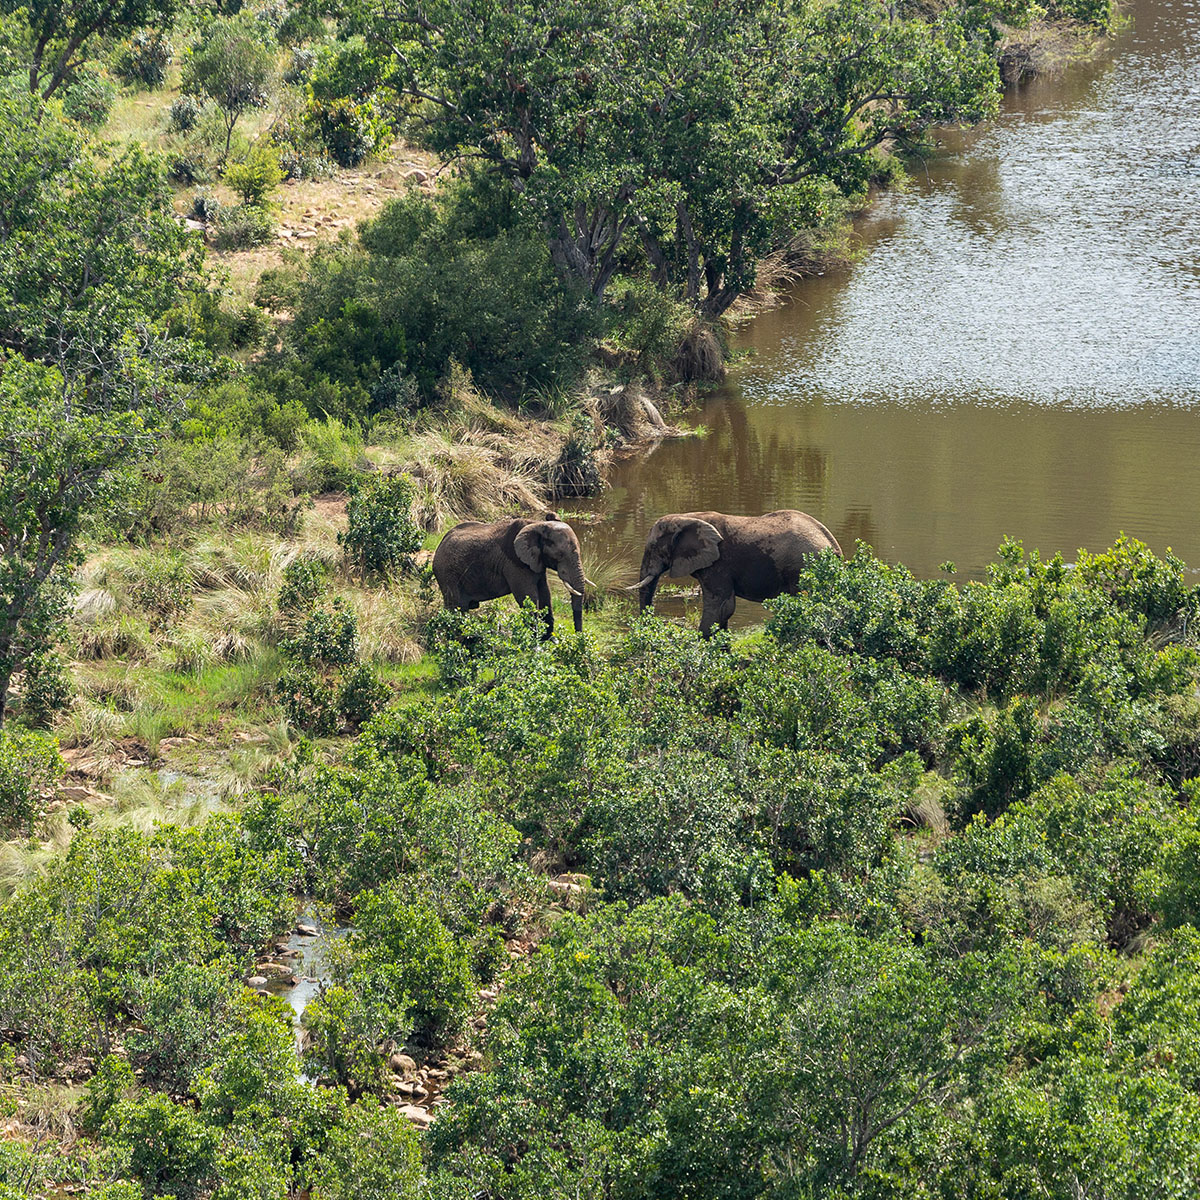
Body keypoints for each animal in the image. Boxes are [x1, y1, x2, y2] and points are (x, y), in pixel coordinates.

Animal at [436, 511, 595, 633]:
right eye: (560, 555)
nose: (578, 635)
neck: (536, 524)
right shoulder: (515, 564)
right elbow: (527, 597)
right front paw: (537, 645)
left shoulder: (536, 562)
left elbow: (545, 594)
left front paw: (550, 640)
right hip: (448, 575)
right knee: (457, 607)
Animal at [638, 508, 844, 633]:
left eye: (653, 548)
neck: (684, 517)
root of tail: (833, 545)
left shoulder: (719, 564)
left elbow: (721, 606)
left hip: (802, 568)